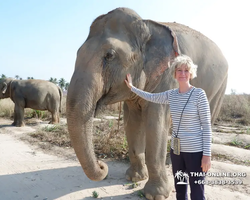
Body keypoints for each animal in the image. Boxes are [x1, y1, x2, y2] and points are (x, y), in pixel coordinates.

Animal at [66, 7, 229, 200]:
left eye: (109, 55)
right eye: (77, 53)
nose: (102, 164)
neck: (147, 26)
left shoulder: (166, 77)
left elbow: (155, 123)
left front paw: (155, 195)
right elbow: (132, 123)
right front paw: (134, 178)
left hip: (220, 87)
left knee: (207, 120)